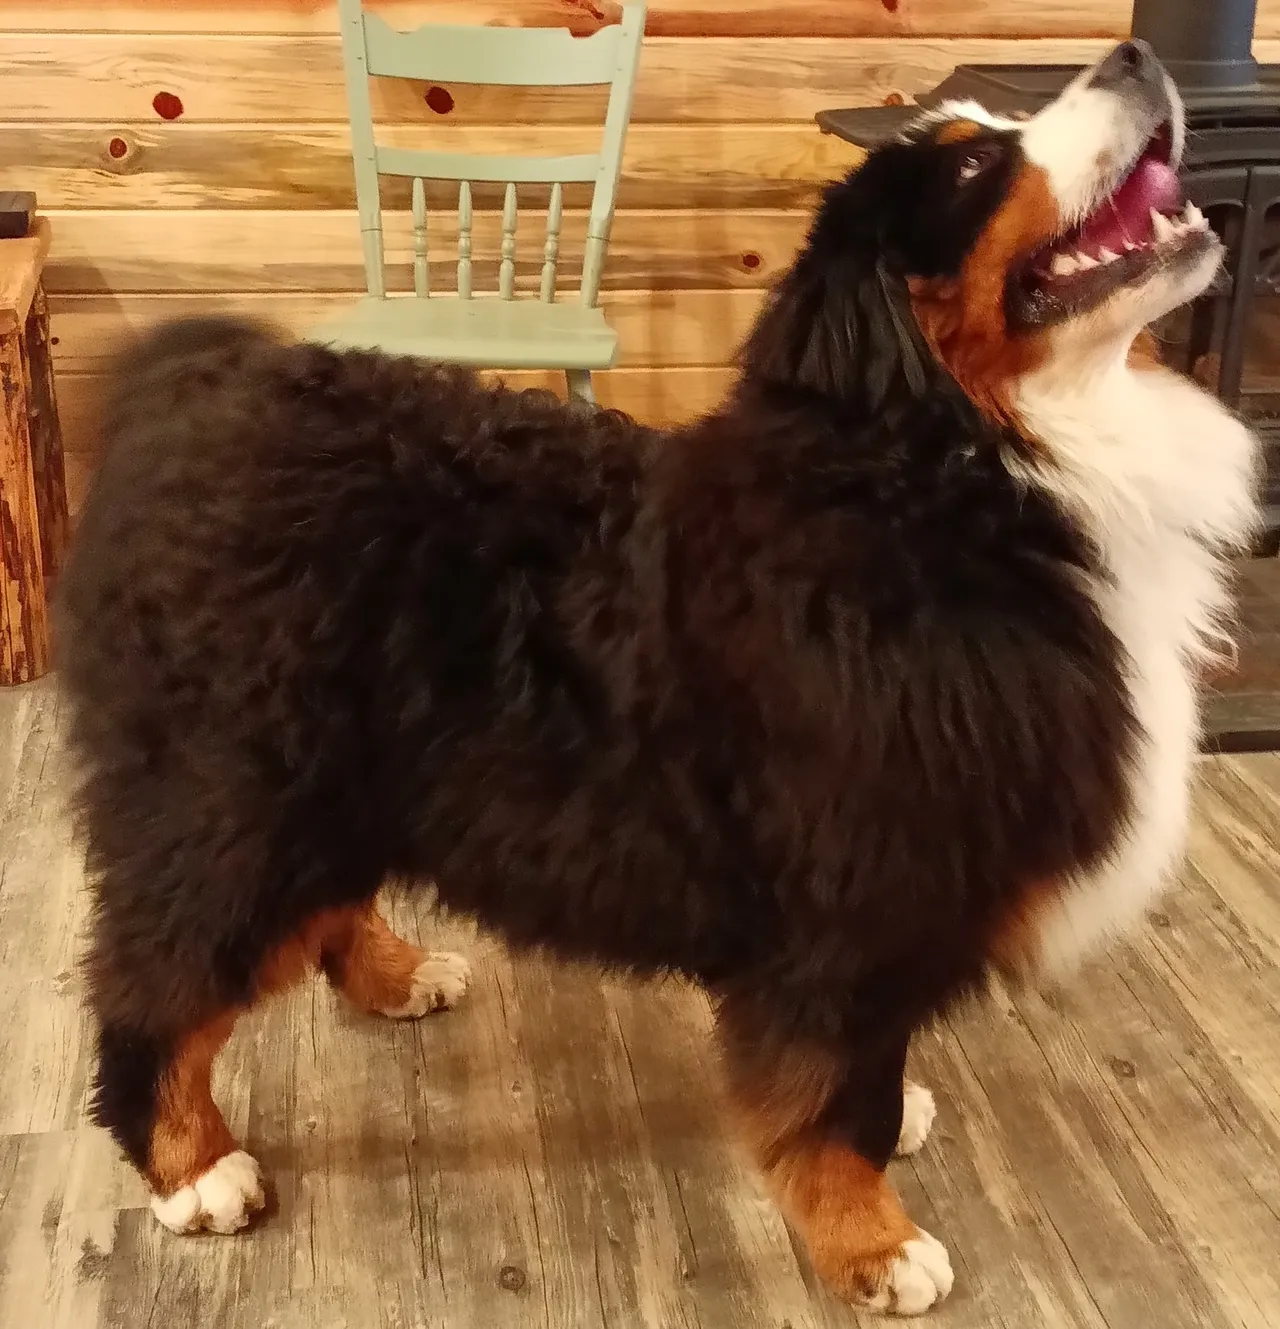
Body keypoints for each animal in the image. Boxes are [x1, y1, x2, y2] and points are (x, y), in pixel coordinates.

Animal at [60, 44, 1260, 1318]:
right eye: (976, 164)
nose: (1135, 54)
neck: (955, 472)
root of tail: (194, 386)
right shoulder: (853, 893)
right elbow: (836, 1089)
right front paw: (871, 1240)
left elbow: (865, 1065)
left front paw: (897, 1126)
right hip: (231, 800)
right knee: (157, 989)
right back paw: (190, 1165)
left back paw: (395, 975)